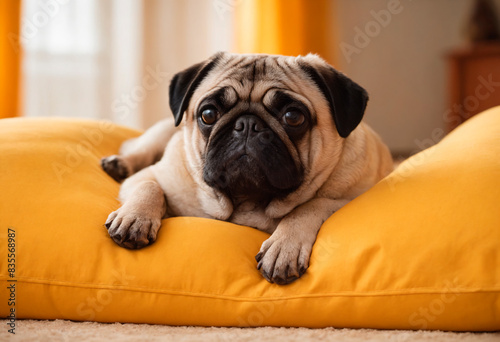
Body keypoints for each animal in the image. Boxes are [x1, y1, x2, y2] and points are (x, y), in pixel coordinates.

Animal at [100, 51, 394, 284]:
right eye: (208, 114)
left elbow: (311, 206)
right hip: (161, 132)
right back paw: (118, 164)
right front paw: (134, 218)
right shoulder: (153, 175)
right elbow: (148, 185)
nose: (247, 125)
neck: (246, 202)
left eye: (293, 117)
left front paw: (283, 247)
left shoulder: (351, 197)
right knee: (137, 148)